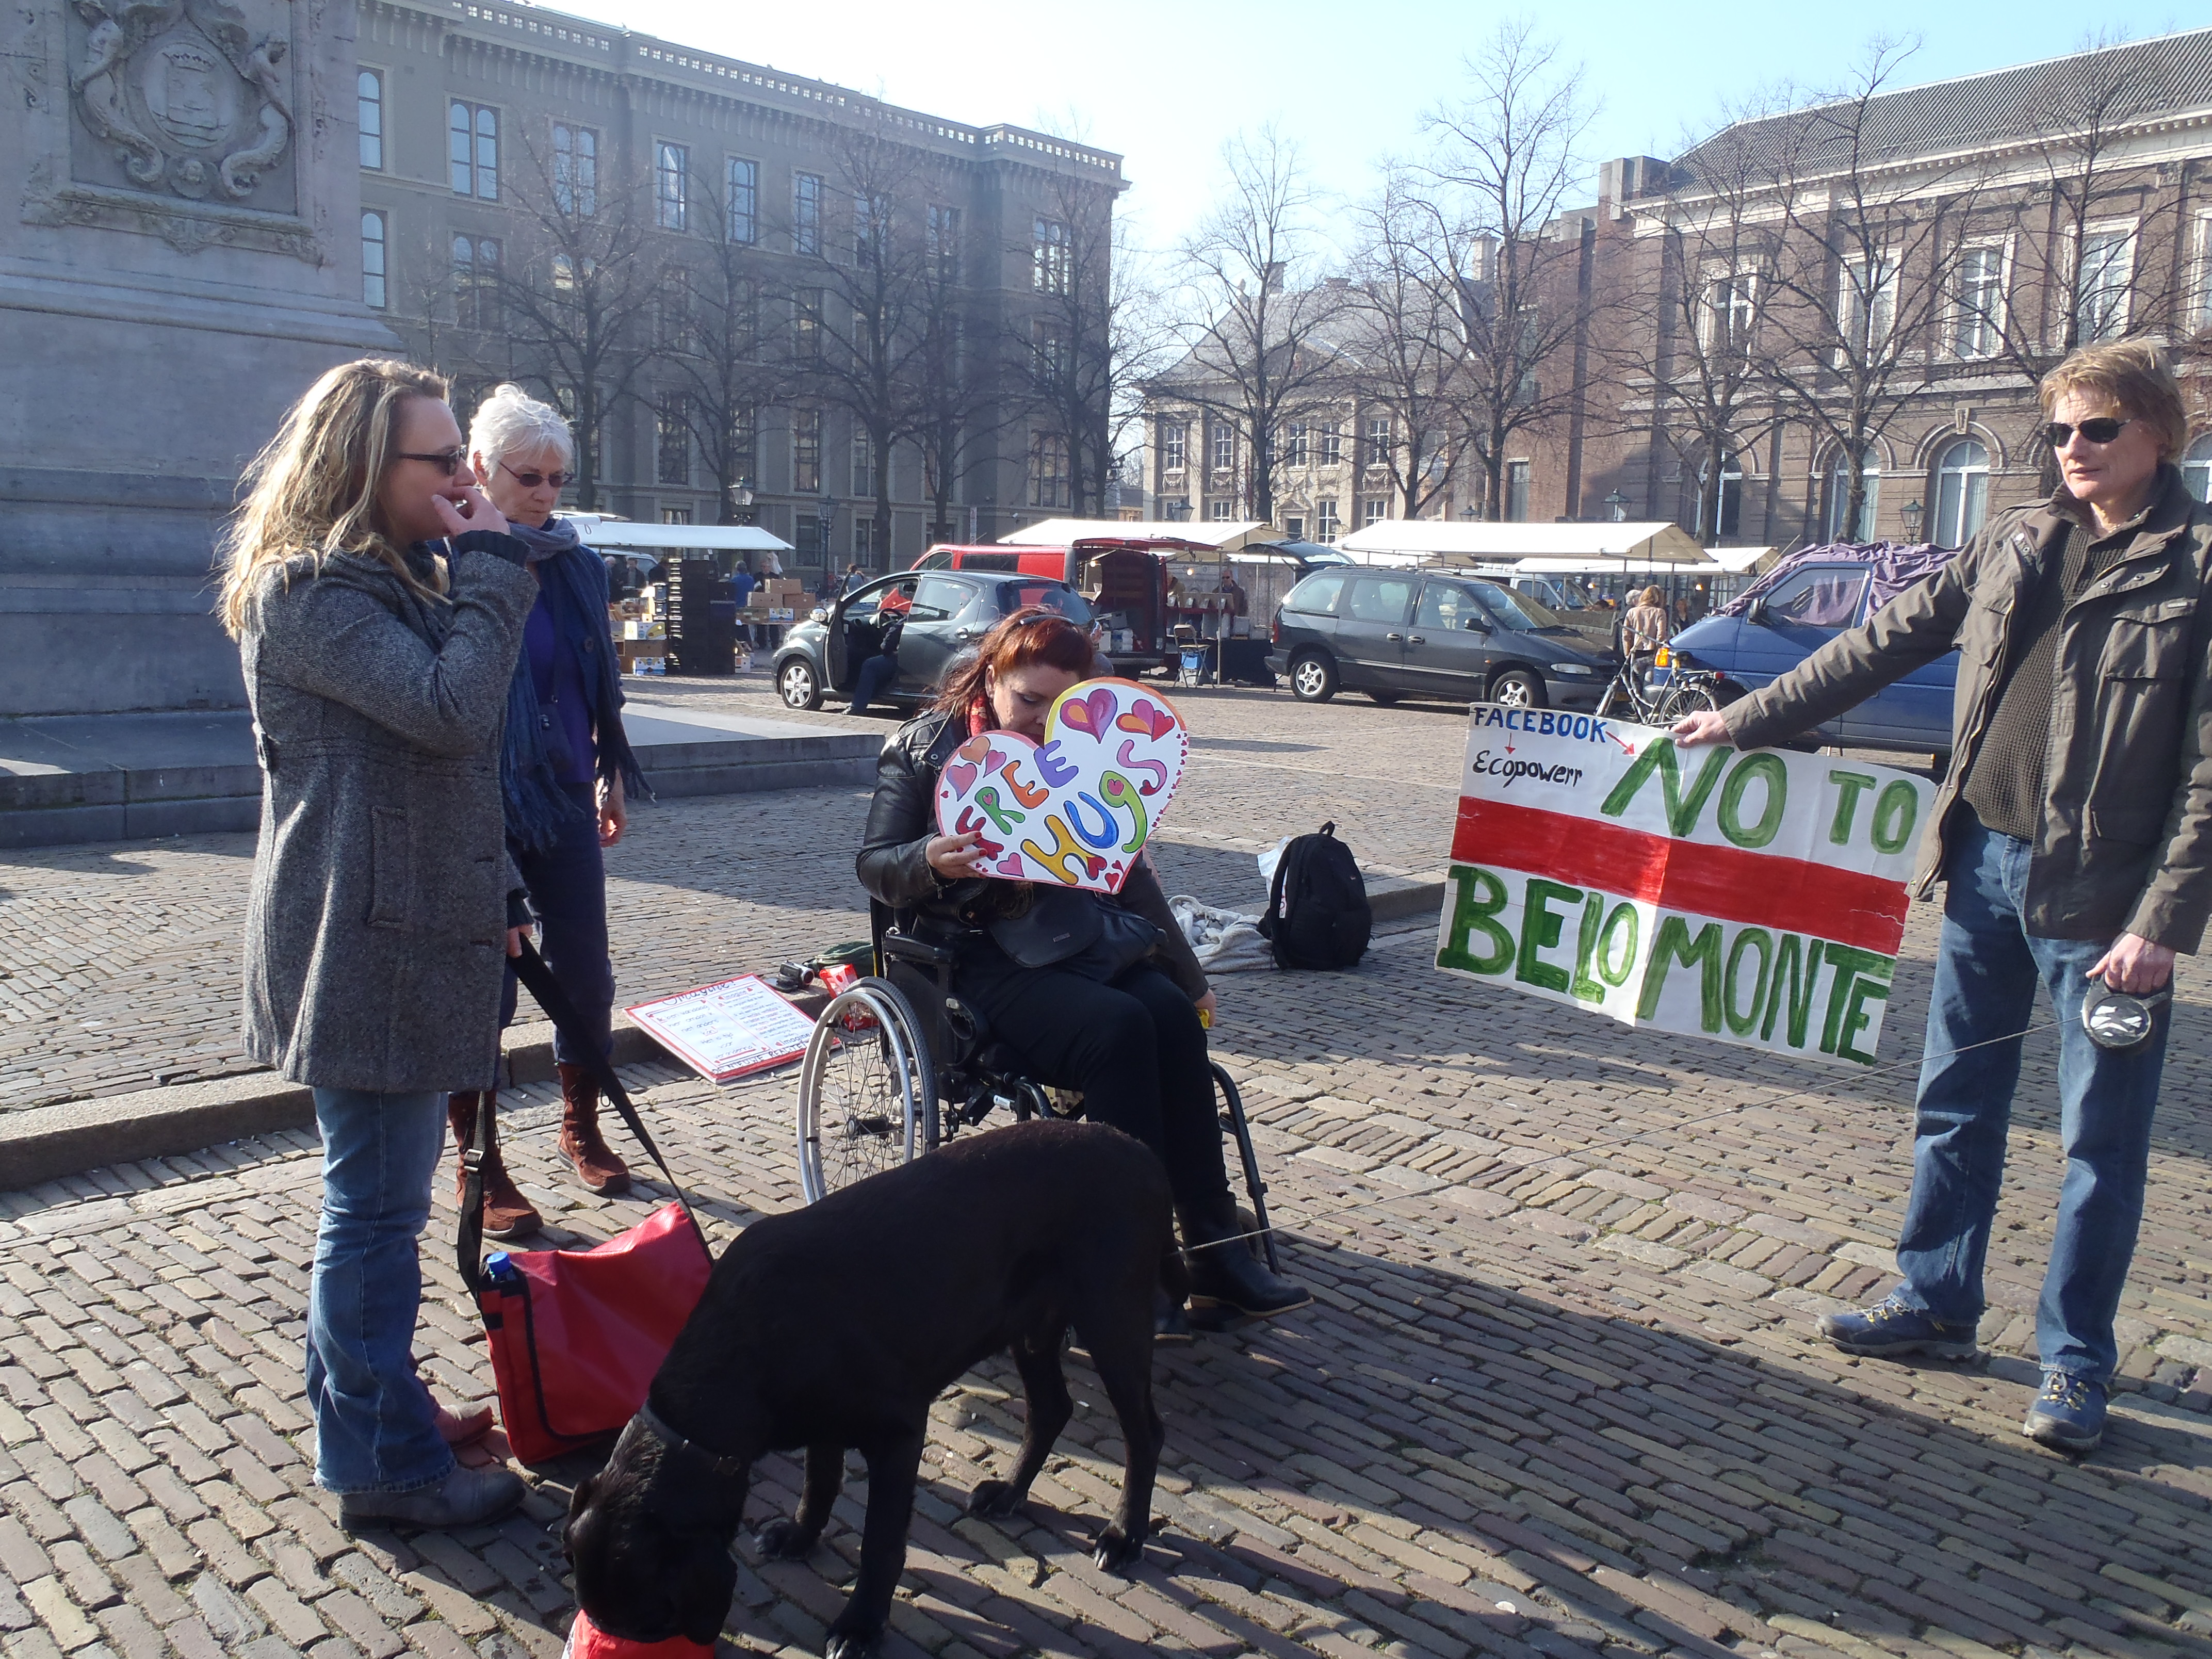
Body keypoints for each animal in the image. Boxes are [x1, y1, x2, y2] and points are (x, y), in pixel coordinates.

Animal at [564, 1119, 1183, 1659]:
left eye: (652, 1623)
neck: (743, 1346)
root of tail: (1143, 1152)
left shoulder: (899, 1433)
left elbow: (879, 1543)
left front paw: (860, 1626)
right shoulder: (819, 1422)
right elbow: (819, 1482)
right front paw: (799, 1536)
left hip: (1112, 1318)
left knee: (1145, 1433)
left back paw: (1124, 1536)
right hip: (1032, 1329)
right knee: (1051, 1410)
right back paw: (1009, 1494)